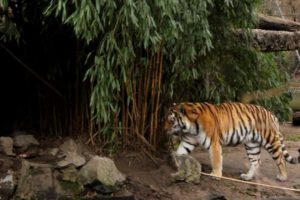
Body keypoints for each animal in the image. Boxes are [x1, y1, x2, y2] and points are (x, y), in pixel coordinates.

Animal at [164, 101, 300, 181]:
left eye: (171, 121)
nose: (164, 130)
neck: (189, 126)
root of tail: (272, 114)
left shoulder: (213, 143)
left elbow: (216, 160)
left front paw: (216, 175)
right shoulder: (188, 141)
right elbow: (180, 153)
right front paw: (178, 168)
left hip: (270, 140)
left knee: (280, 158)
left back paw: (282, 176)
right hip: (252, 144)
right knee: (256, 161)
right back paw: (247, 177)